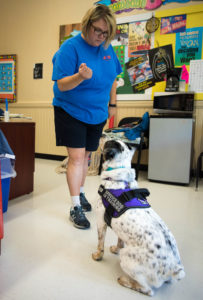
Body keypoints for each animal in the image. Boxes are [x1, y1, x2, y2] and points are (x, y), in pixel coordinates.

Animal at [93, 139, 185, 296]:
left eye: (107, 141)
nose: (101, 136)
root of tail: (172, 269)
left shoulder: (100, 222)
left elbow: (100, 244)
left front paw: (98, 256)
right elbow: (119, 242)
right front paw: (115, 249)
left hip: (127, 258)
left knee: (148, 290)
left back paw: (125, 281)